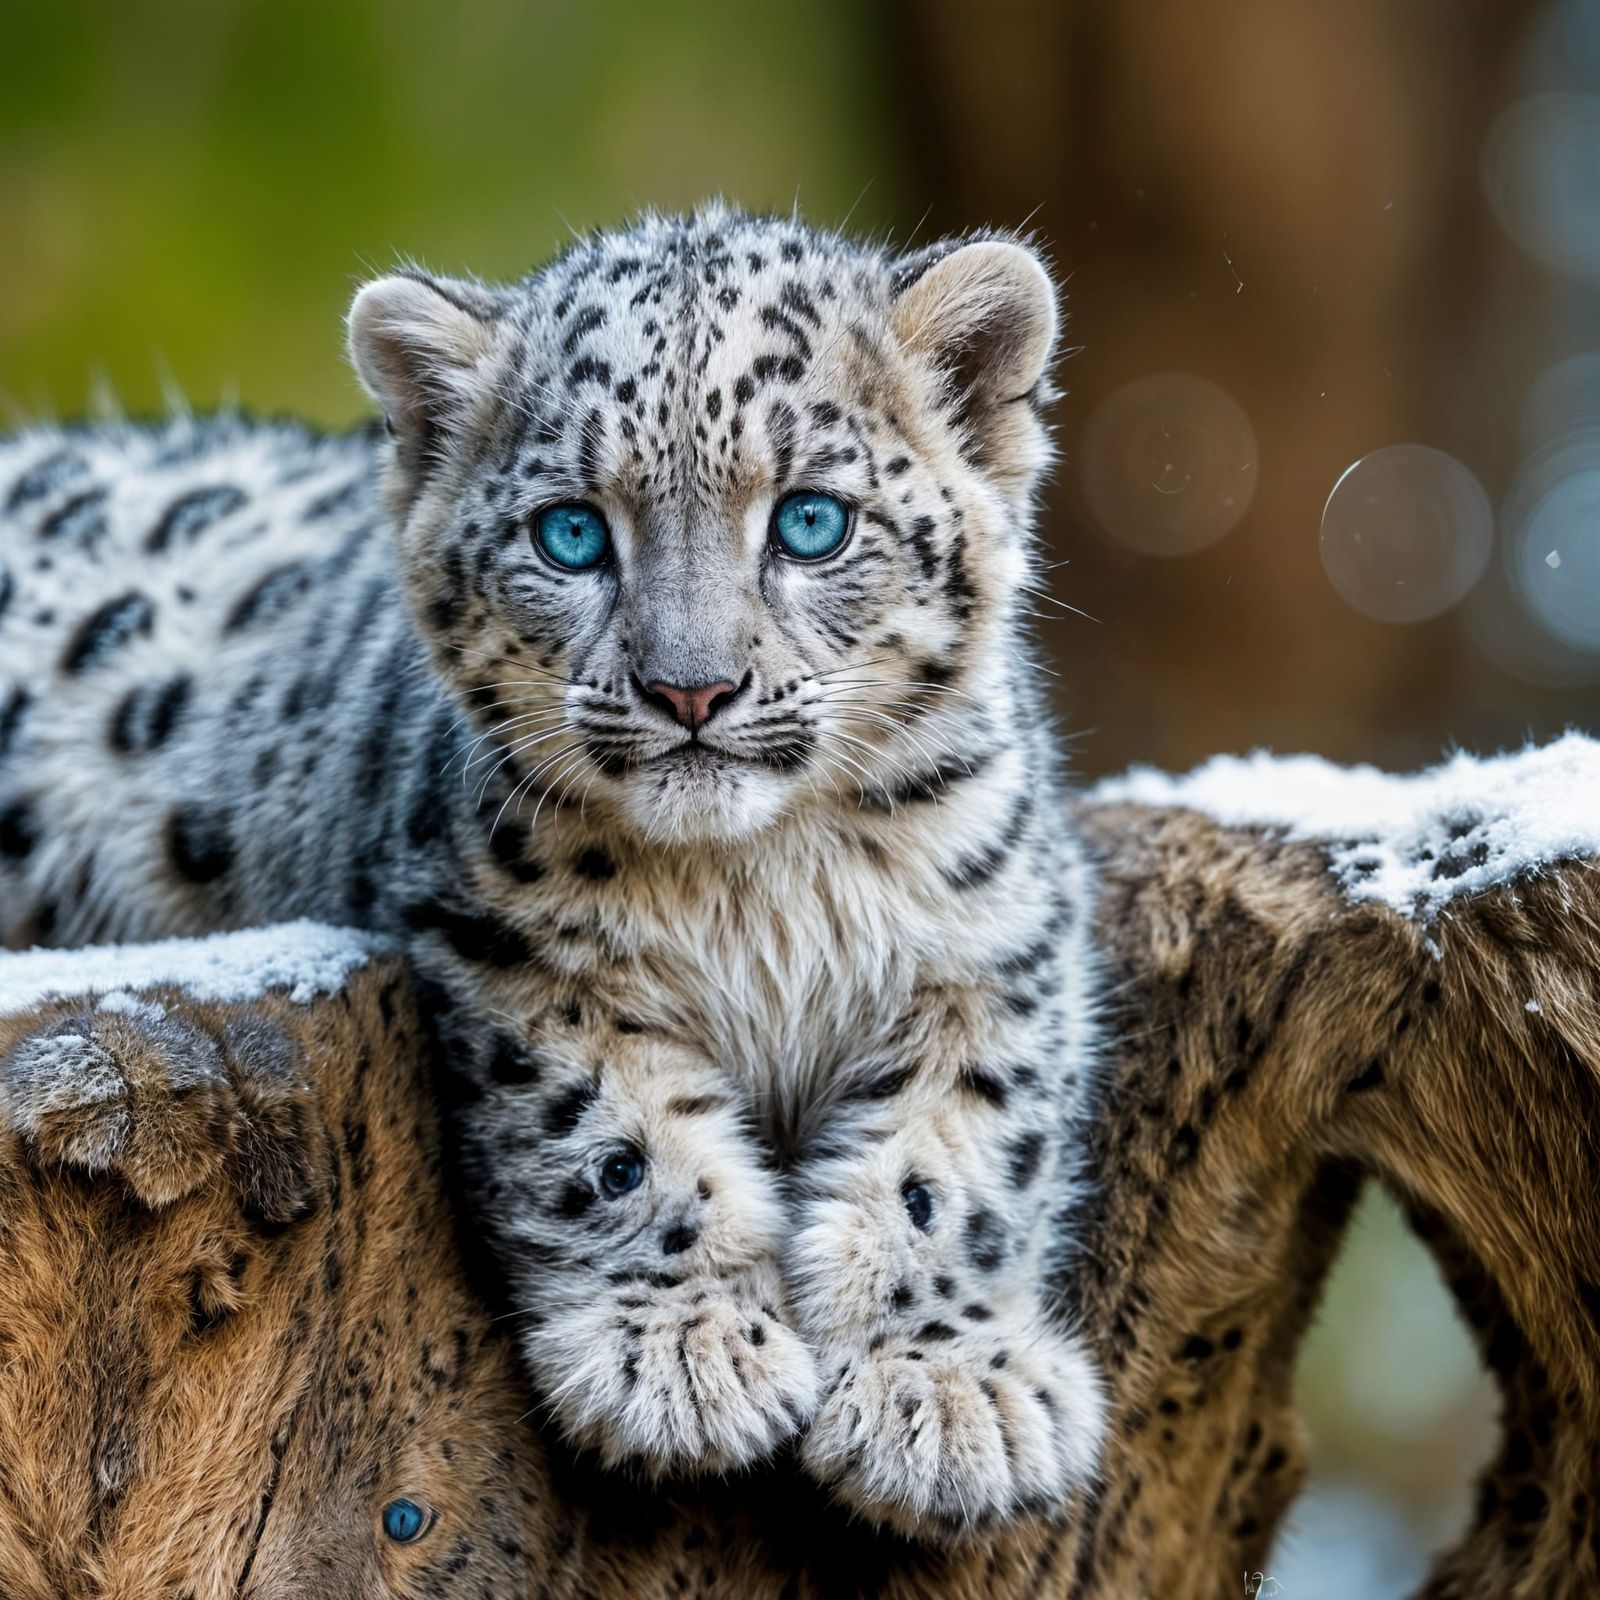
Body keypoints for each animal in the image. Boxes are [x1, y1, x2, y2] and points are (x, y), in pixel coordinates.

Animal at [0, 204, 1106, 1538]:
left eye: (811, 519)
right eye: (571, 533)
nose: (691, 688)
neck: (762, 881)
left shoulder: (996, 947)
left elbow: (956, 1161)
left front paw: (947, 1390)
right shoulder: (510, 950)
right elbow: (611, 1135)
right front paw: (680, 1356)